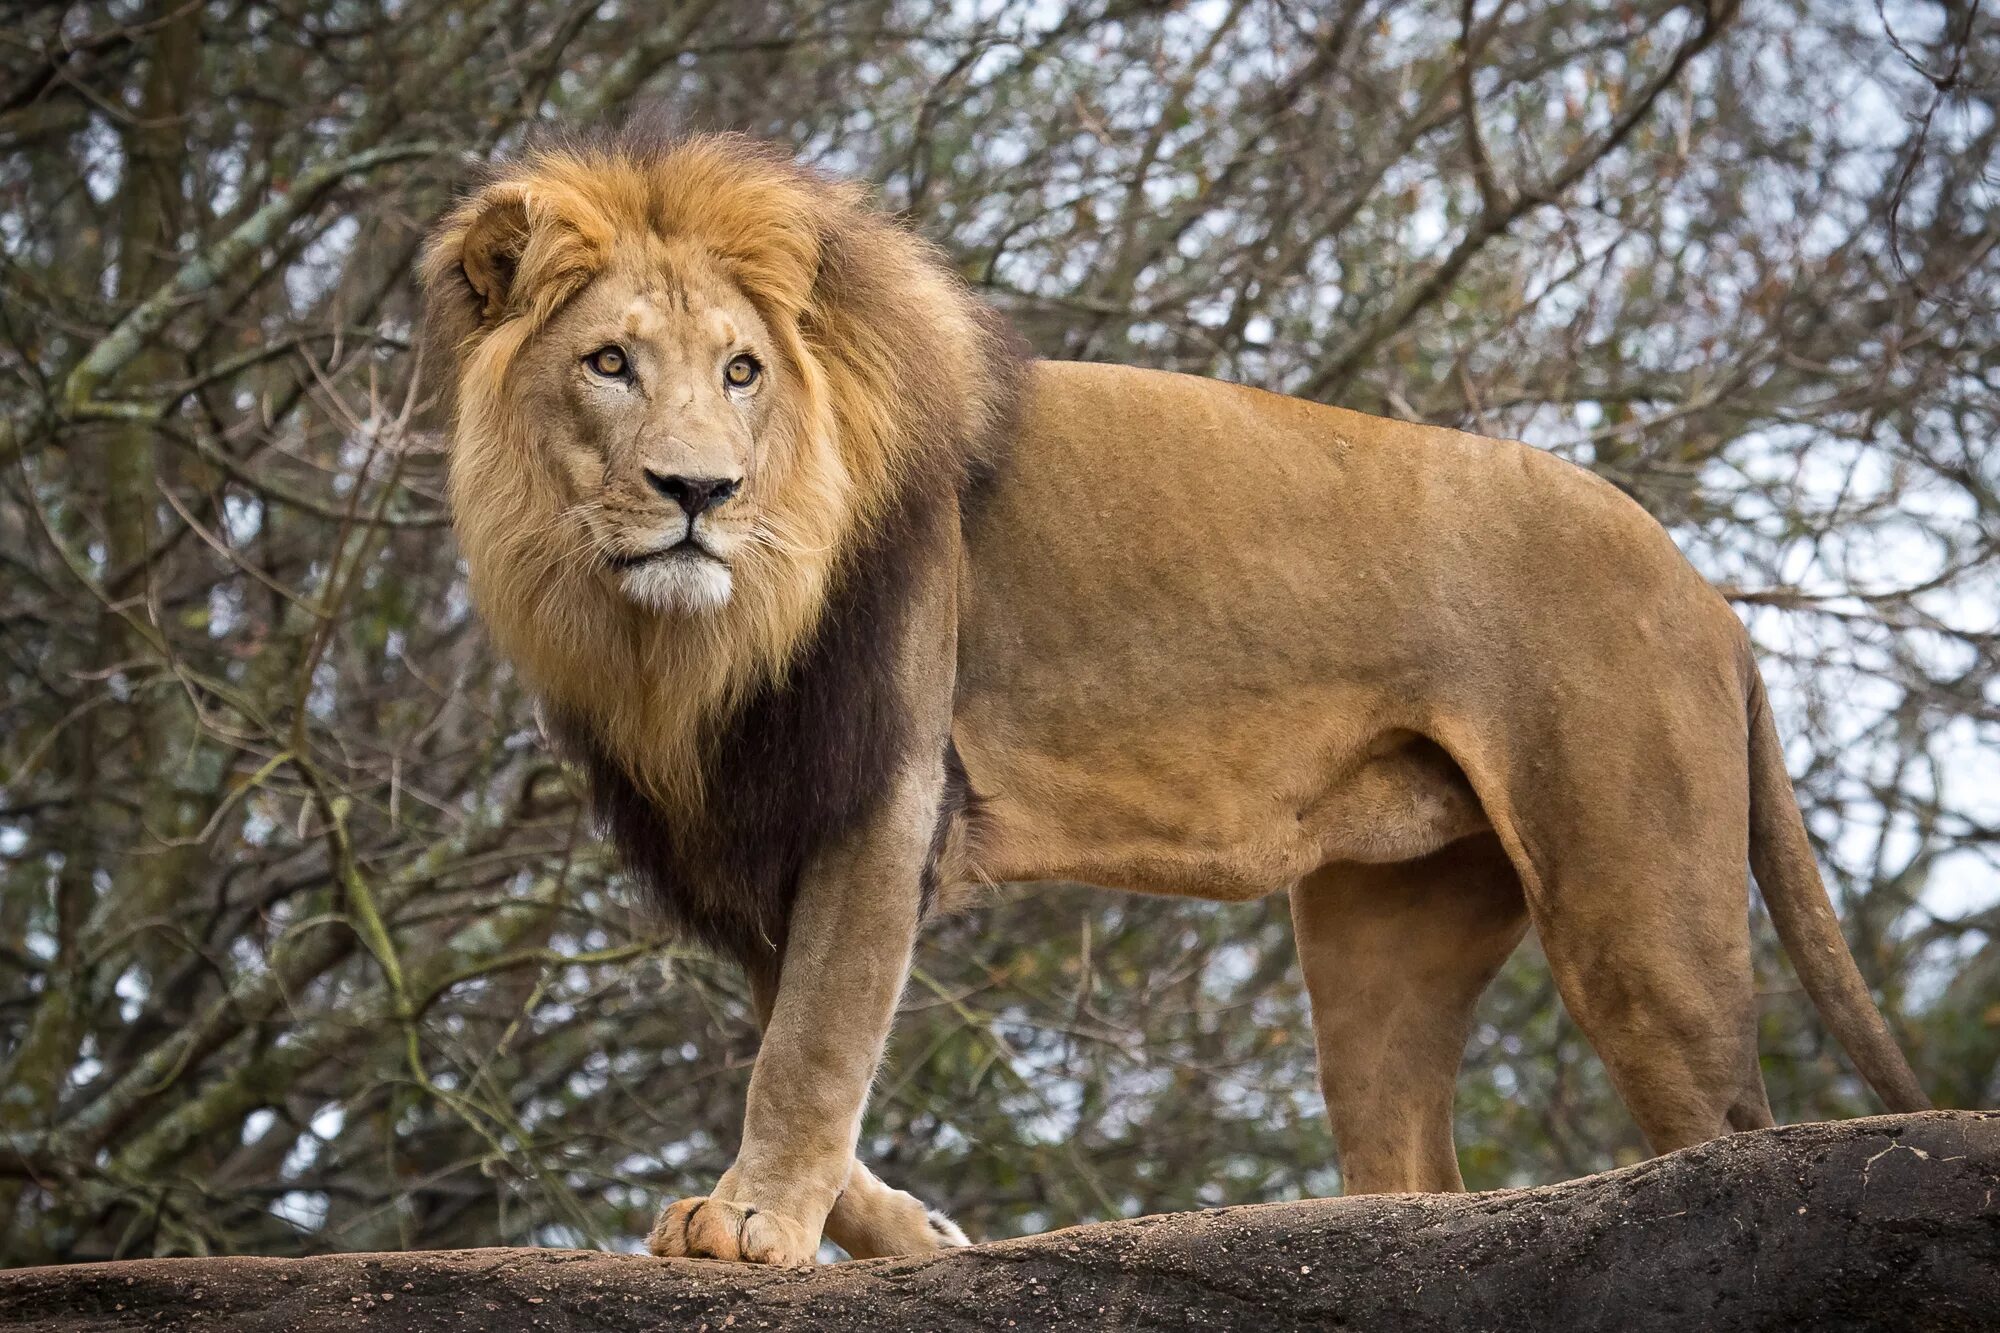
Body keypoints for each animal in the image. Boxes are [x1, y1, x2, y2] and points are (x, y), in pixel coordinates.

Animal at [418, 119, 1920, 1264]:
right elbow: (801, 1029)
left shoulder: (881, 786)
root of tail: (1708, 594)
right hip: (1384, 935)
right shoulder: (746, 823)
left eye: (740, 371)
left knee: (1730, 1137)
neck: (679, 640)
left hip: (1635, 908)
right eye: (609, 362)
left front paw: (754, 1229)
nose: (698, 493)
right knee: (1416, 1176)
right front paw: (910, 1236)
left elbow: (813, 1041)